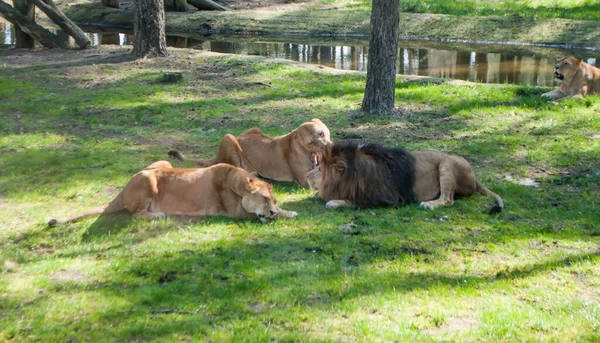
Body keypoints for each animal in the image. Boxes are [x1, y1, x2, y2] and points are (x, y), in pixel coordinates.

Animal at [49, 163, 298, 227]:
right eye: (264, 199)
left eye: (273, 199)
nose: (271, 211)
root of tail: (122, 191)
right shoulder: (237, 214)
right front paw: (290, 213)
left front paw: (284, 210)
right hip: (148, 178)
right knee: (136, 214)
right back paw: (156, 215)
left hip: (162, 163)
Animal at [168, 119, 332, 188]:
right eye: (311, 142)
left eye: (321, 133)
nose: (325, 147)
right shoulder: (303, 179)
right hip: (229, 137)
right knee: (235, 166)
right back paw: (253, 173)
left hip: (254, 128)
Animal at [308, 142, 504, 212]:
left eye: (319, 169)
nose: (307, 174)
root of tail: (475, 177)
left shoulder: (381, 199)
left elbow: (342, 201)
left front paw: (332, 201)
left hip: (446, 163)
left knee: (448, 199)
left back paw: (429, 204)